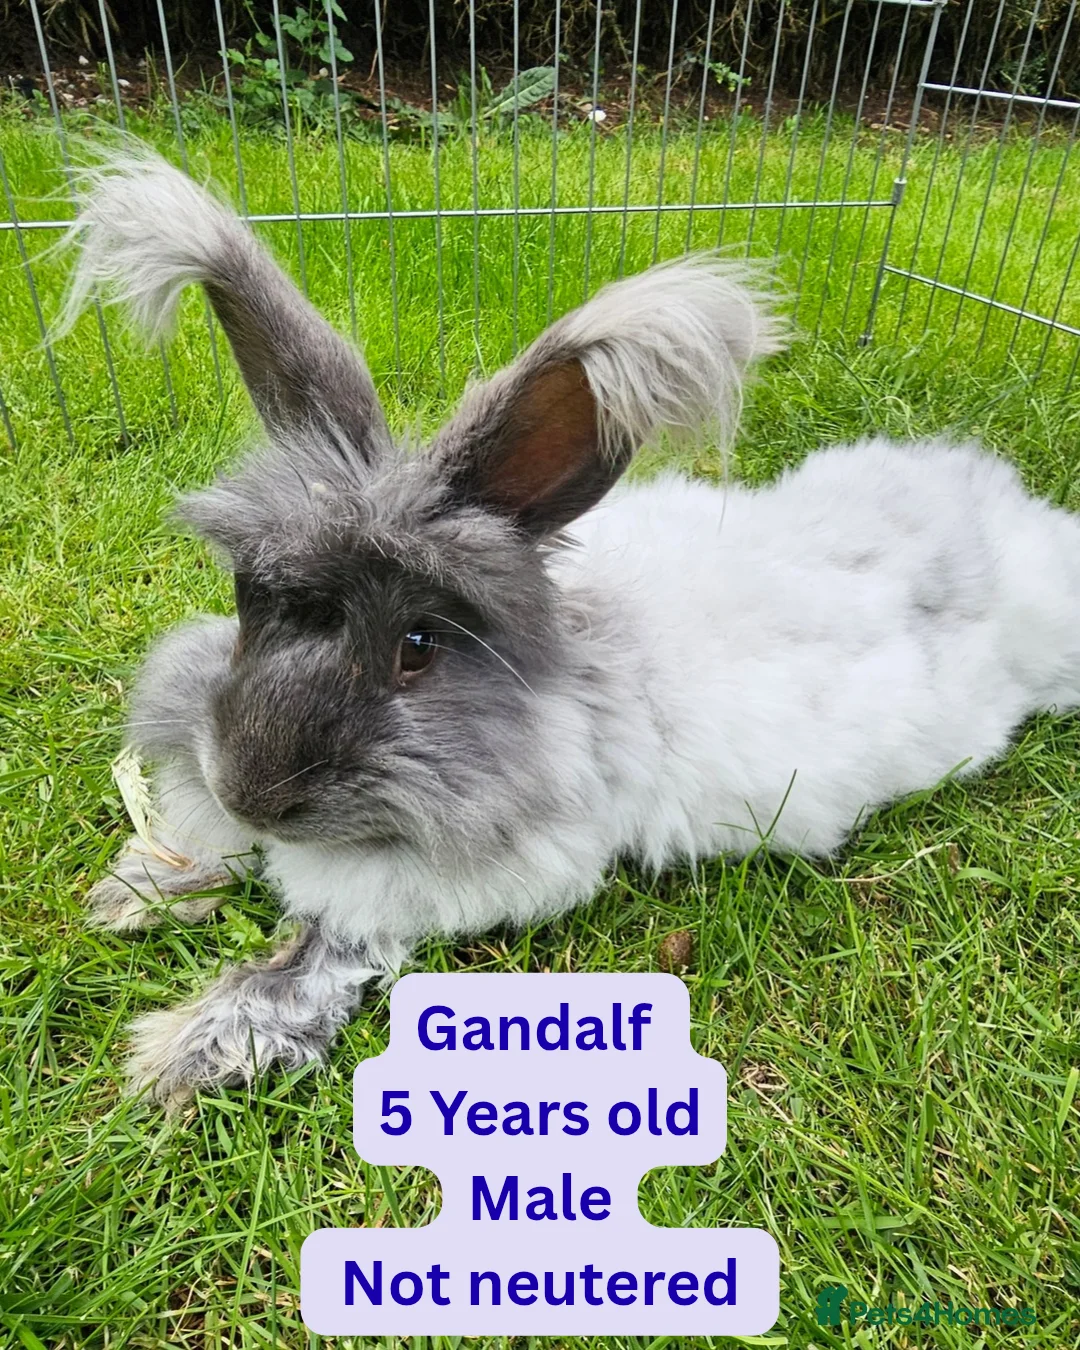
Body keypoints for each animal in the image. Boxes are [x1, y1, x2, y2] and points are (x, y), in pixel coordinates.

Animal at [64, 150, 1080, 1109]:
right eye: (247, 604)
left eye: (417, 647)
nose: (252, 794)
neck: (560, 682)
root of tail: (998, 505)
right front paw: (138, 889)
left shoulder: (472, 876)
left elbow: (319, 946)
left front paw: (188, 1050)